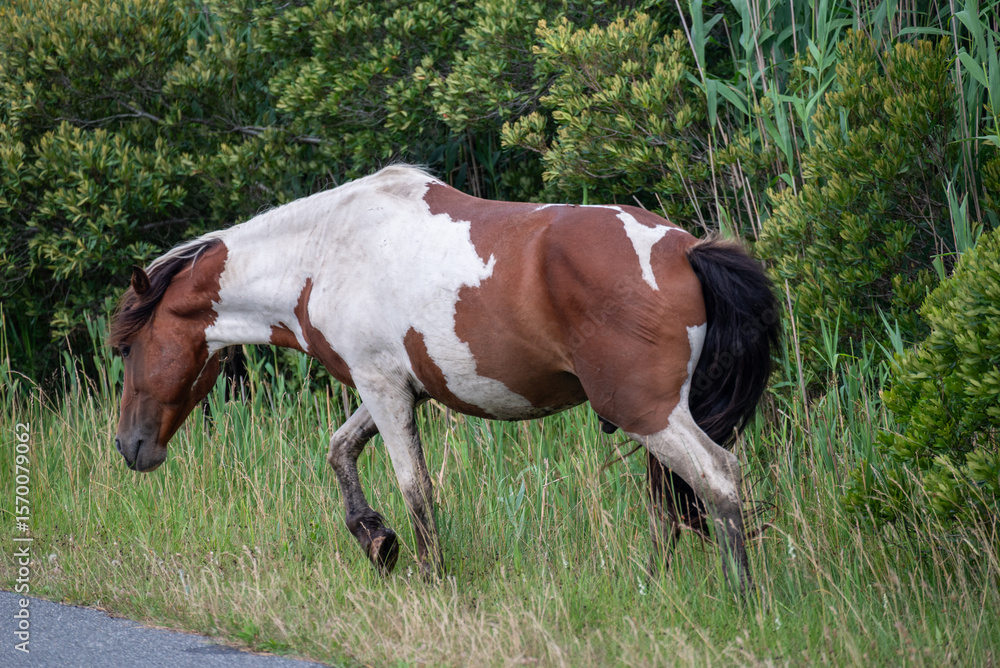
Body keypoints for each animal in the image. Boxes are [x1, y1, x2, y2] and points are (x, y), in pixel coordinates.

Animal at [110, 165, 780, 591]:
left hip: (648, 413)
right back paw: (652, 587)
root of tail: (686, 251)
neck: (322, 252)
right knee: (672, 499)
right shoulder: (394, 387)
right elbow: (340, 450)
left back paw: (741, 595)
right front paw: (376, 541)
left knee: (717, 478)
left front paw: (428, 574)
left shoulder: (382, 388)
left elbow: (416, 488)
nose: (129, 447)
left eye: (129, 348)